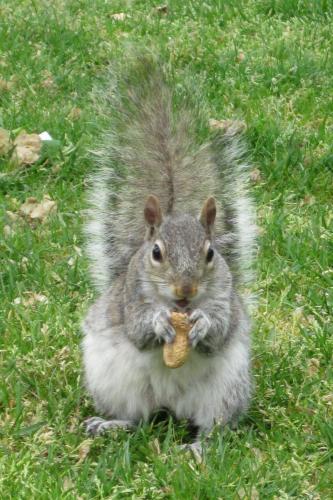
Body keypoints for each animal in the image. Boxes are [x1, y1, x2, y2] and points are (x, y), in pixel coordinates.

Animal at [81, 54, 255, 454]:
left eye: (210, 253)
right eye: (157, 253)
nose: (185, 290)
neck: (180, 309)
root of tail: (170, 404)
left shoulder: (224, 298)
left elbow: (219, 331)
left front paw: (203, 324)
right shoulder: (130, 299)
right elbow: (137, 331)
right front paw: (159, 323)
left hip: (225, 389)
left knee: (213, 425)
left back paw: (199, 447)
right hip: (112, 381)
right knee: (136, 418)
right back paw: (108, 425)